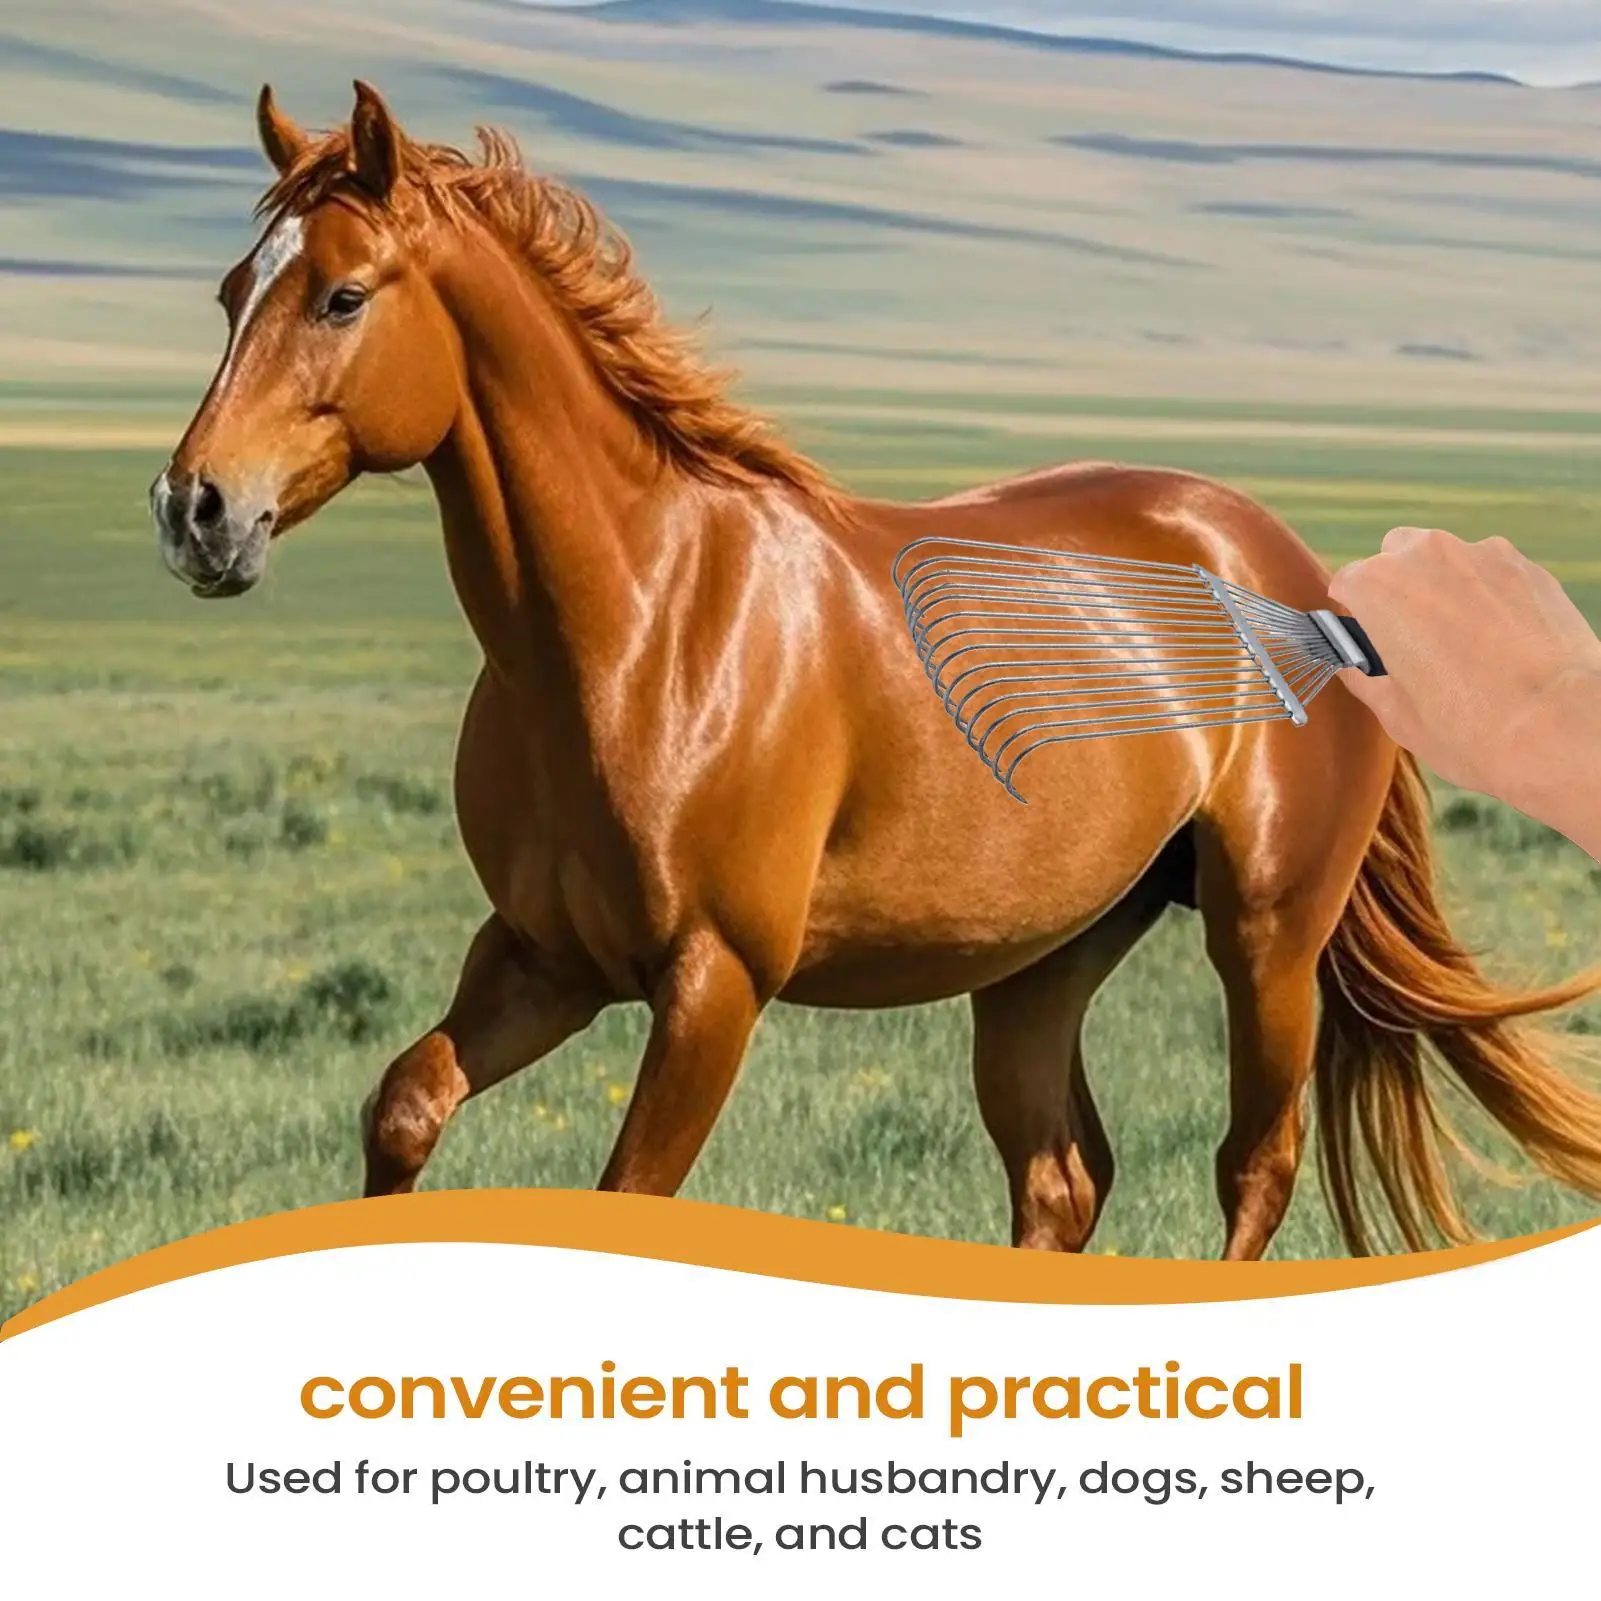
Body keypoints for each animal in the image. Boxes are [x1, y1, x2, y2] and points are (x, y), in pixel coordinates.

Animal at [151, 81, 1601, 1258]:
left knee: (1252, 1166)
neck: (641, 626)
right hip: (1041, 956)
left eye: (341, 296)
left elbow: (627, 1196)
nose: (193, 511)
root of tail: (1290, 564)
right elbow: (404, 1107)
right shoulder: (541, 955)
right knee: (1062, 1183)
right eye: (228, 293)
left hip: (1265, 933)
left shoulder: (711, 982)